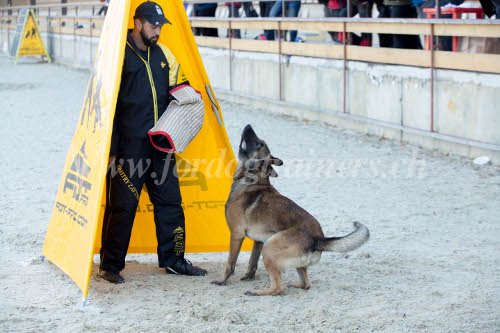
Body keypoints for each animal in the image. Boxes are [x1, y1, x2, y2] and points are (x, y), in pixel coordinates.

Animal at [212, 125, 372, 296]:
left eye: (259, 144)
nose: (248, 126)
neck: (252, 180)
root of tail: (318, 239)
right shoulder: (258, 241)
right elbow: (252, 261)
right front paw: (249, 276)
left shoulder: (236, 235)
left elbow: (230, 262)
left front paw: (222, 281)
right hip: (277, 252)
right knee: (306, 283)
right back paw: (294, 284)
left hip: (269, 248)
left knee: (278, 288)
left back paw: (257, 292)